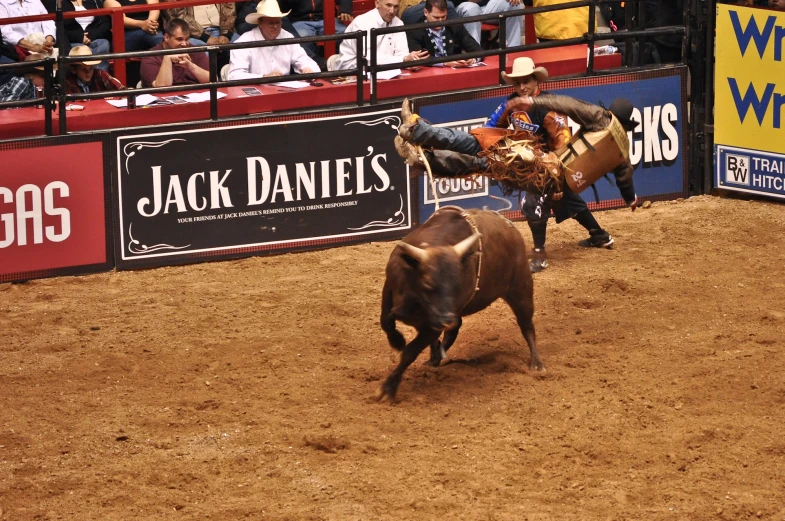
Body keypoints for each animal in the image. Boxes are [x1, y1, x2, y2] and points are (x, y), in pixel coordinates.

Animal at [376, 205, 544, 400]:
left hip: (521, 290)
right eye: (428, 283)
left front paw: (388, 388)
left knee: (527, 326)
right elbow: (386, 322)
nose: (446, 320)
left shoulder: (432, 327)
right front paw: (397, 341)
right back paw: (435, 357)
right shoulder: (389, 291)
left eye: (458, 283)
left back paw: (537, 363)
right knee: (453, 331)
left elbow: (410, 352)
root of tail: (512, 230)